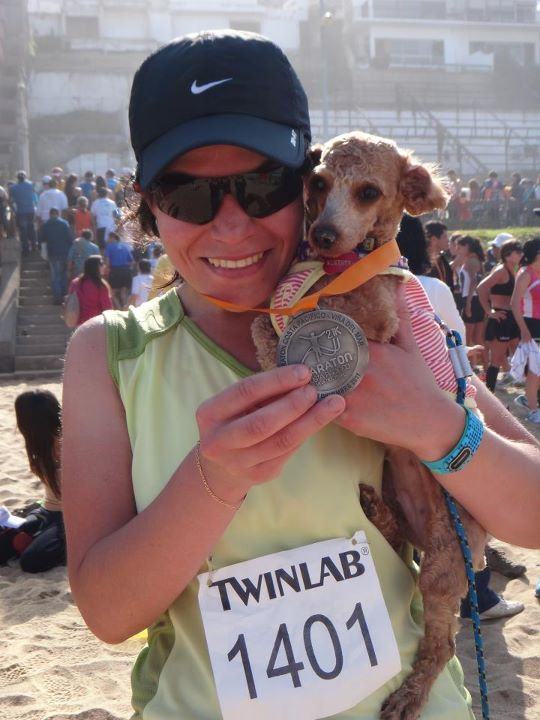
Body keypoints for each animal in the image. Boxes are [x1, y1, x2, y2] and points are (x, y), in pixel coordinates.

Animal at [251, 131, 487, 720]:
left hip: (446, 561)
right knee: (396, 530)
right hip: (403, 501)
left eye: (368, 192)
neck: (346, 261)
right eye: (317, 183)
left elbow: (318, 308)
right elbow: (268, 316)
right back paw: (376, 509)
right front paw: (268, 340)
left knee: (442, 642)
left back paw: (408, 696)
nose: (321, 234)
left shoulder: (376, 316)